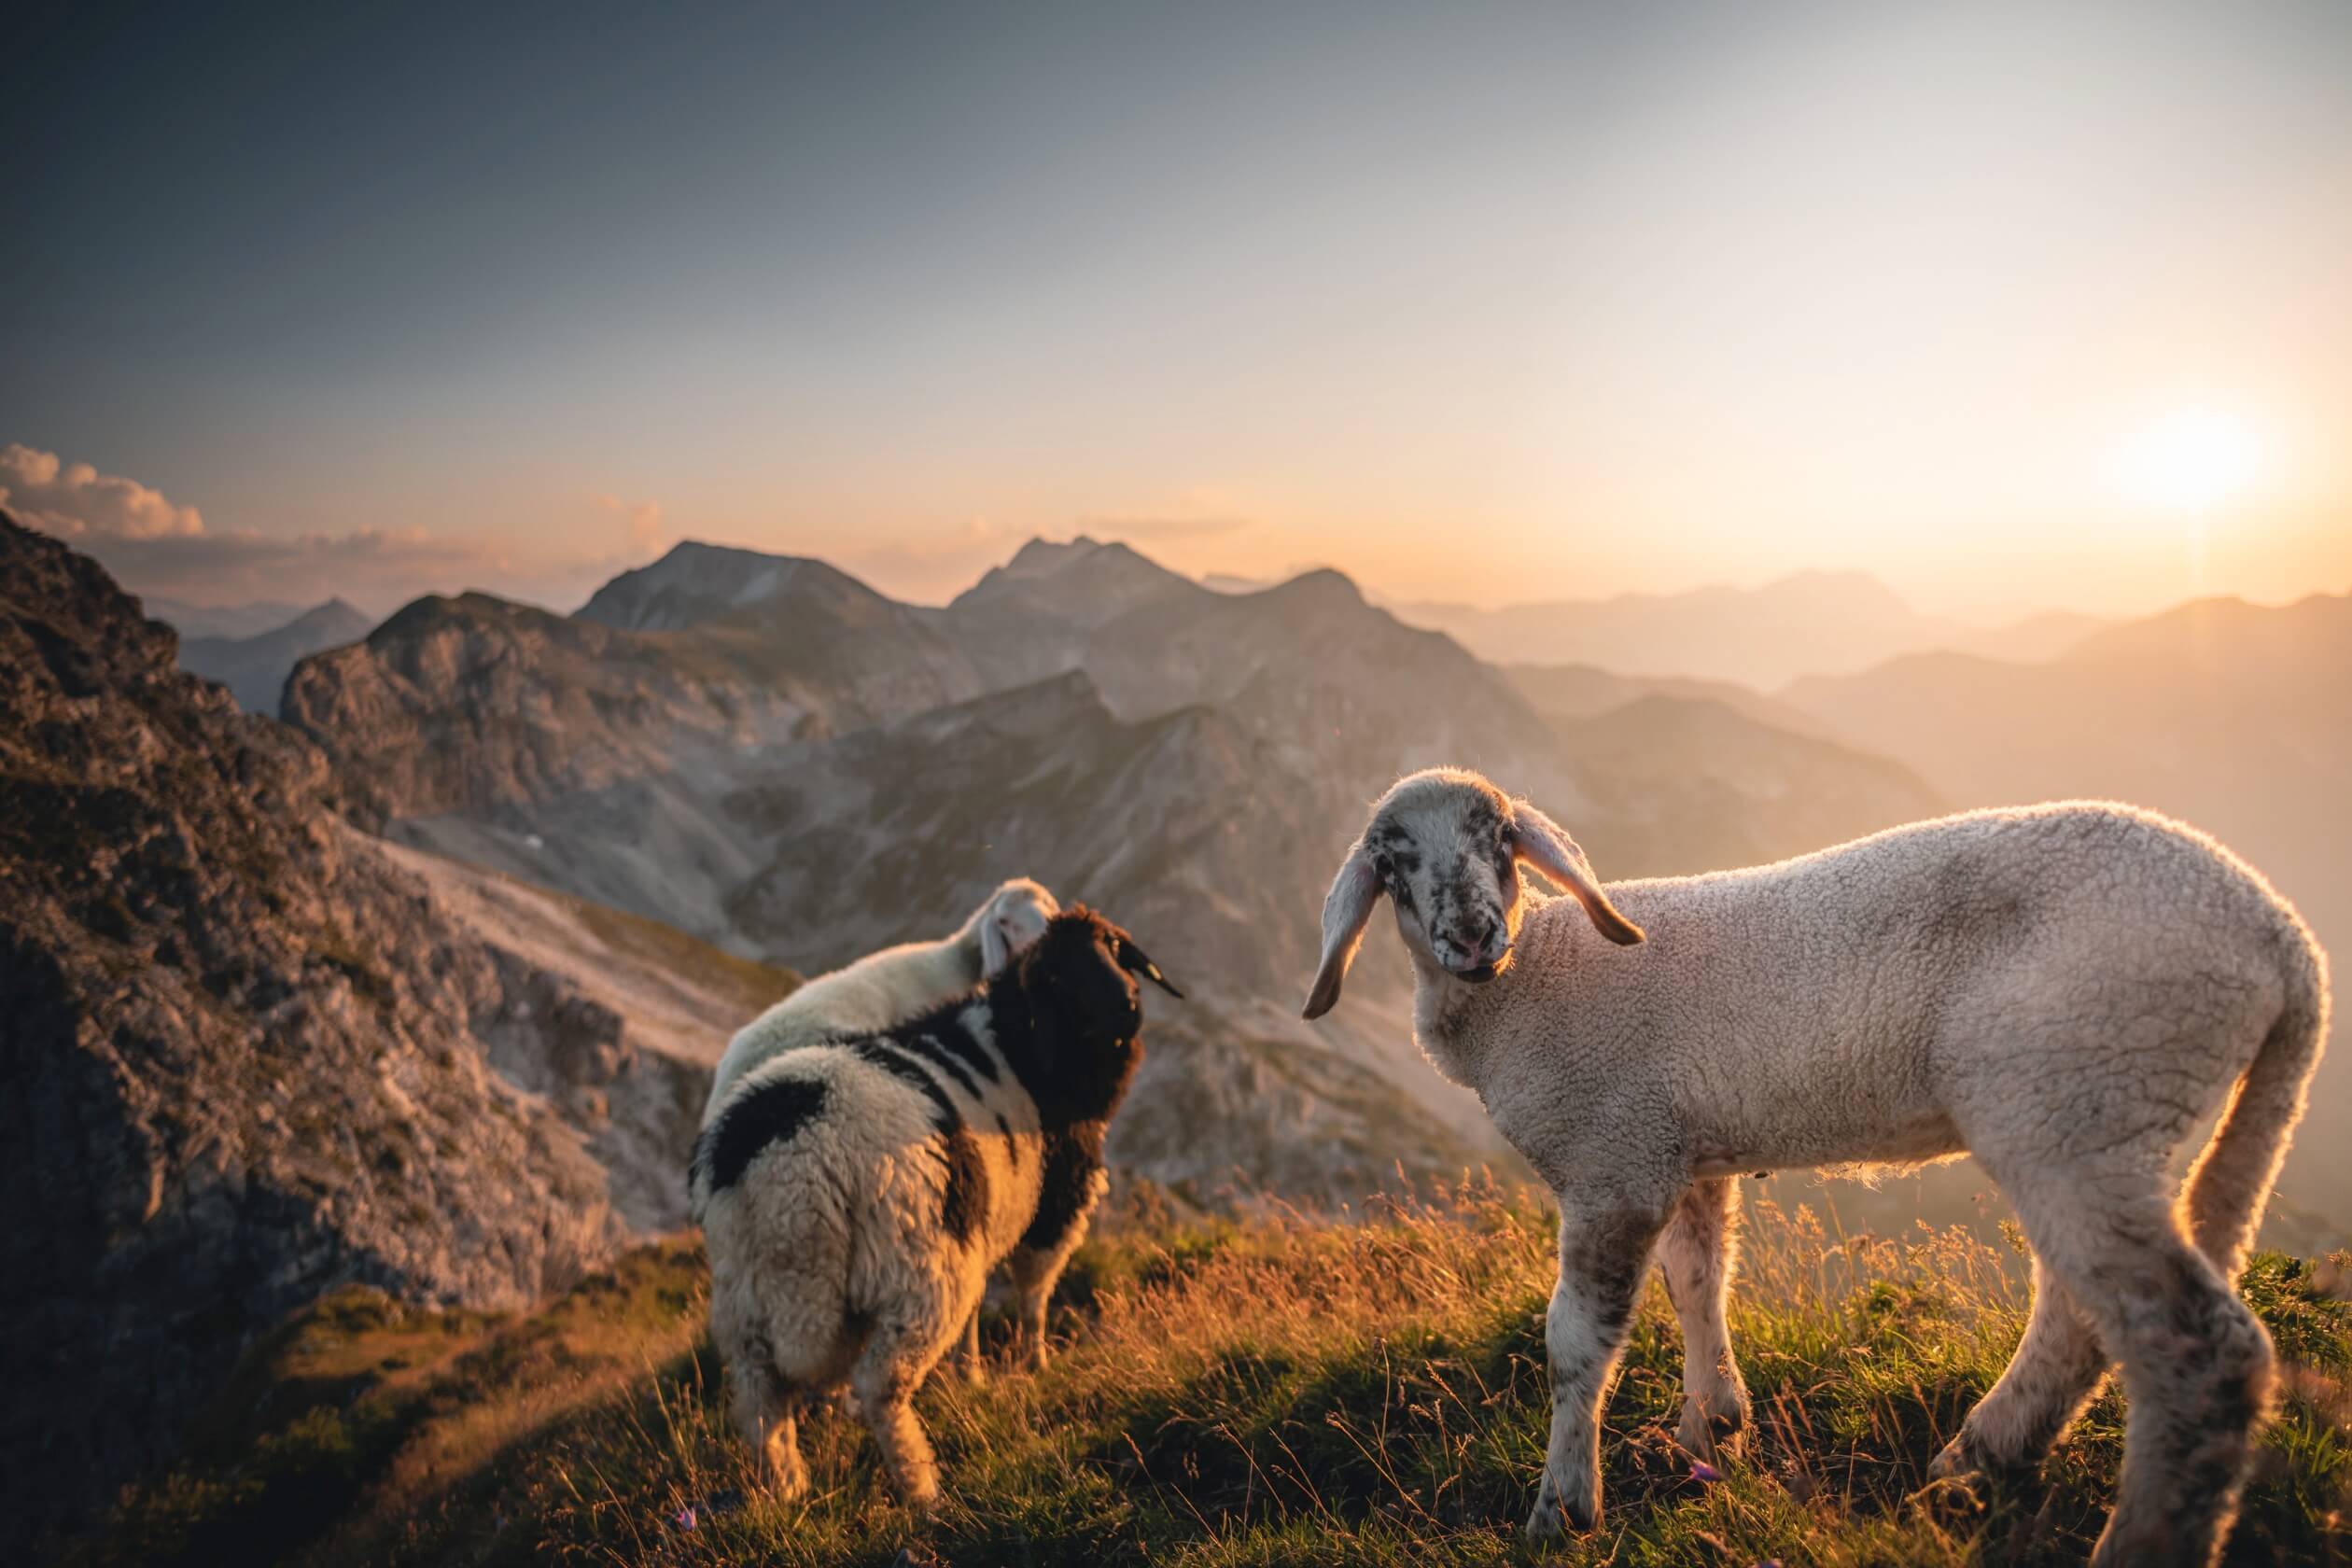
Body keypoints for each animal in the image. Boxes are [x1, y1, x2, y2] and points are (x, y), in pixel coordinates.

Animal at [691, 907, 1176, 1504]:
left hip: (745, 1300)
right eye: (1059, 975)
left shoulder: (976, 1222)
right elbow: (1033, 1298)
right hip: (914, 1272)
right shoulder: (1052, 1210)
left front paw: (972, 1376)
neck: (1021, 1044)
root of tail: (788, 1174)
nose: (1129, 1003)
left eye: (1114, 948)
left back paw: (791, 1492)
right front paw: (1034, 1365)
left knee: (761, 1405)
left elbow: (979, 1311)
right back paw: (922, 1488)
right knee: (879, 1387)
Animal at [1308, 771, 2332, 1568]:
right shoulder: (1677, 1149)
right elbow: (1698, 1282)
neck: (1528, 983)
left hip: (2088, 1091)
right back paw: (1972, 1465)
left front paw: (1562, 1509)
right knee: (2084, 1320)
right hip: (2107, 1117)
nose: (1473, 935)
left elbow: (1575, 1343)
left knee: (2197, 1350)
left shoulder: (1612, 1164)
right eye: (1391, 860)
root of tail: (2285, 944)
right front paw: (1711, 1429)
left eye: (1502, 839)